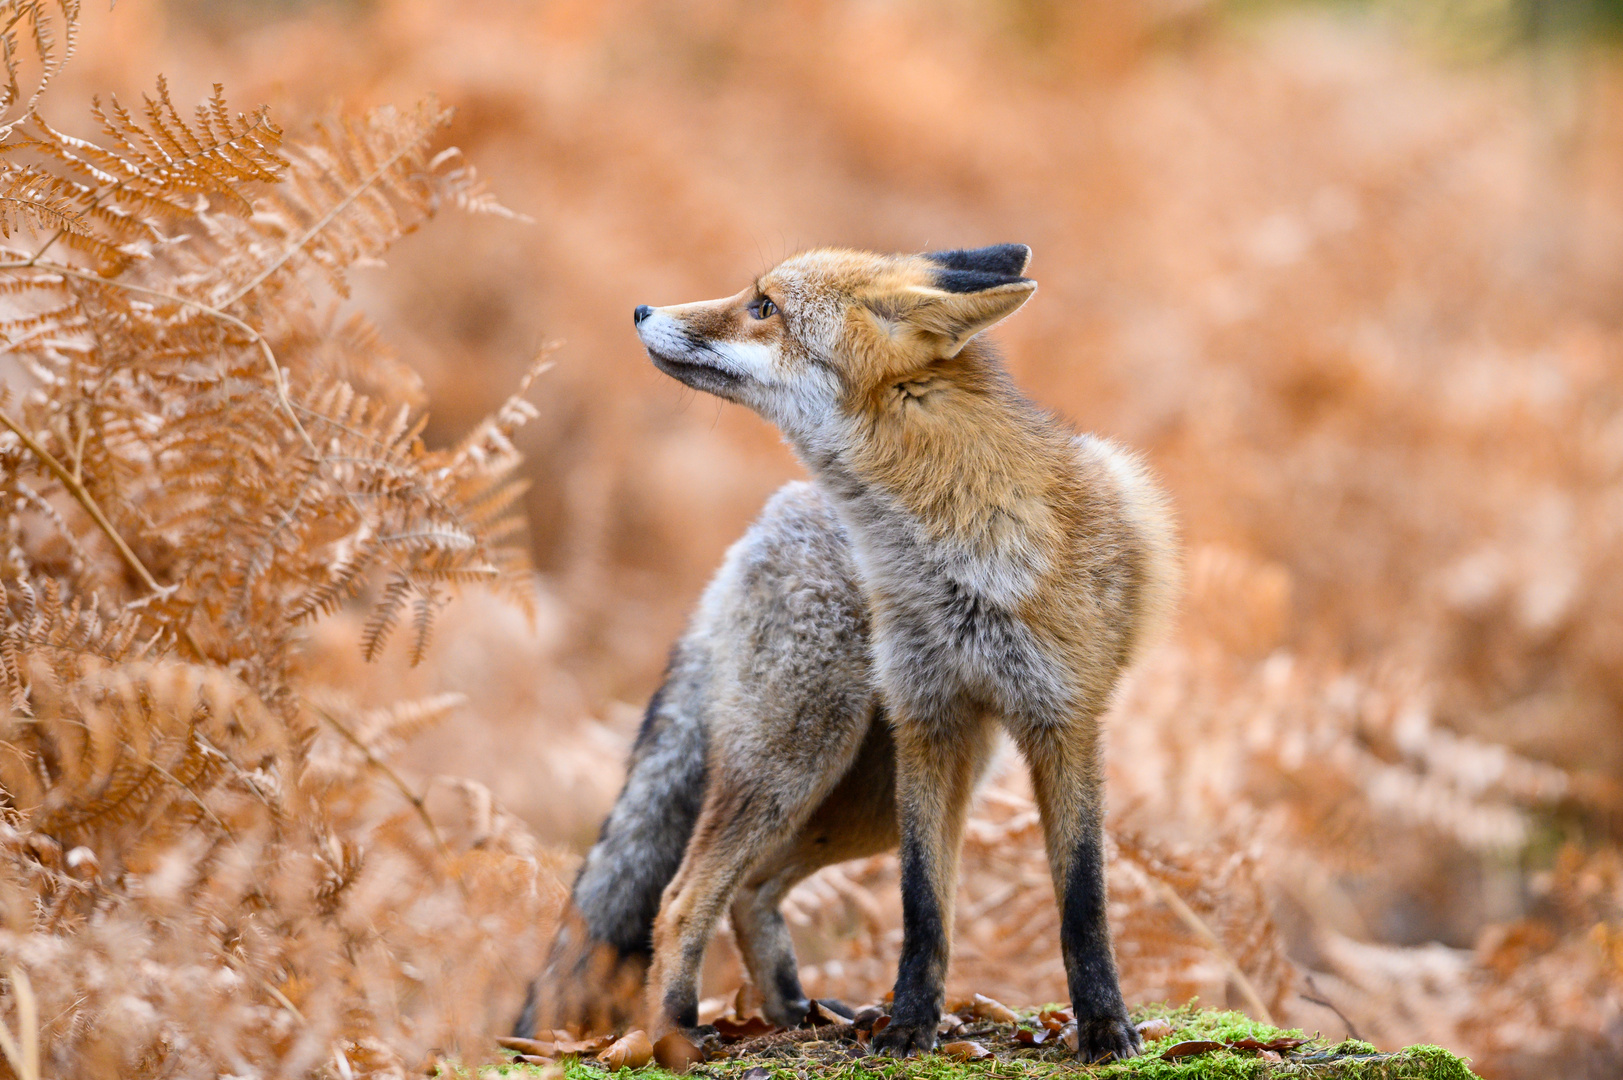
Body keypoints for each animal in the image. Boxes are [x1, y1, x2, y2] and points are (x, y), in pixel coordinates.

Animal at [522, 243, 1181, 1058]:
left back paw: (794, 1012)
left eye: (763, 307)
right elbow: (922, 904)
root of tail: (765, 522)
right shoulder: (931, 722)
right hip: (803, 756)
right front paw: (910, 1028)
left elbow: (1081, 902)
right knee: (682, 897)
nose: (642, 311)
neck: (947, 551)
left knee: (748, 891)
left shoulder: (1064, 722)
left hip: (864, 789)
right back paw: (676, 1038)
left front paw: (1103, 1026)